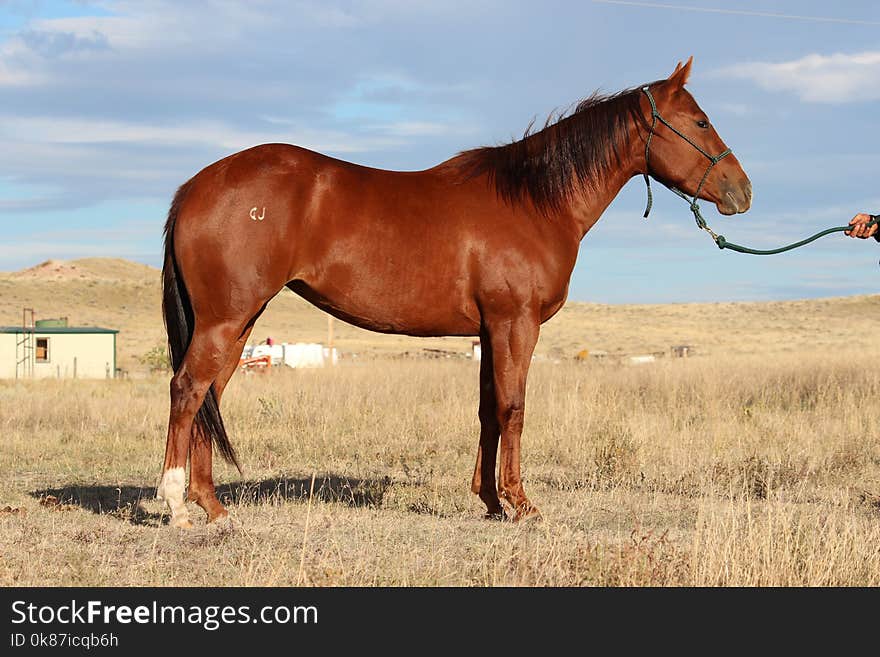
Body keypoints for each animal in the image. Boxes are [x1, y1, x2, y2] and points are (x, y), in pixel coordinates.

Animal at [156, 57, 748, 528]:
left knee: (209, 396)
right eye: (700, 121)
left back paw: (212, 505)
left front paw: (489, 500)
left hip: (240, 321)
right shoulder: (515, 323)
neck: (533, 201)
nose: (742, 191)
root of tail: (196, 186)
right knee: (187, 390)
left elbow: (488, 410)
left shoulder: (489, 330)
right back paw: (178, 505)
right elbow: (513, 407)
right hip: (225, 319)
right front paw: (520, 503)